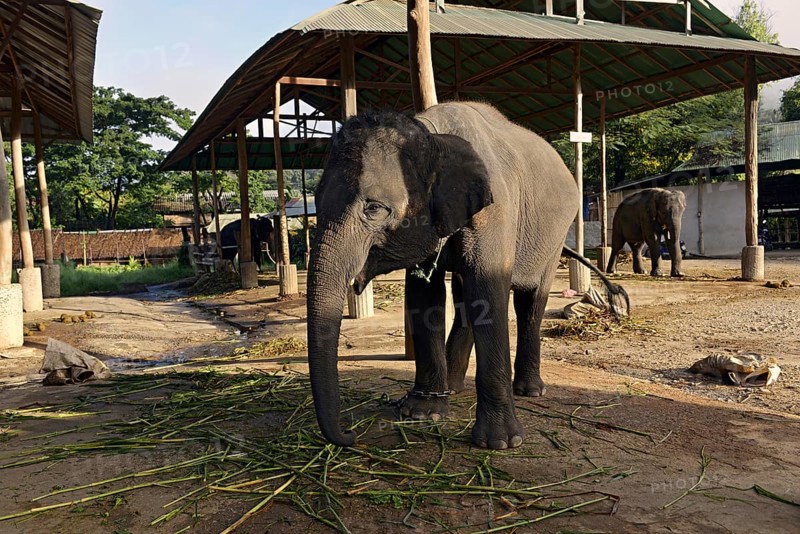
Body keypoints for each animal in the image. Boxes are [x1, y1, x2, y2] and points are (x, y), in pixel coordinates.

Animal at [307, 101, 629, 450]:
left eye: (374, 208)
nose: (350, 434)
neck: (431, 135)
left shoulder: (495, 212)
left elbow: (488, 290)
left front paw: (500, 443)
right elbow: (425, 297)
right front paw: (421, 412)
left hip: (556, 236)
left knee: (529, 303)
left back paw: (529, 390)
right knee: (465, 299)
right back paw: (452, 386)